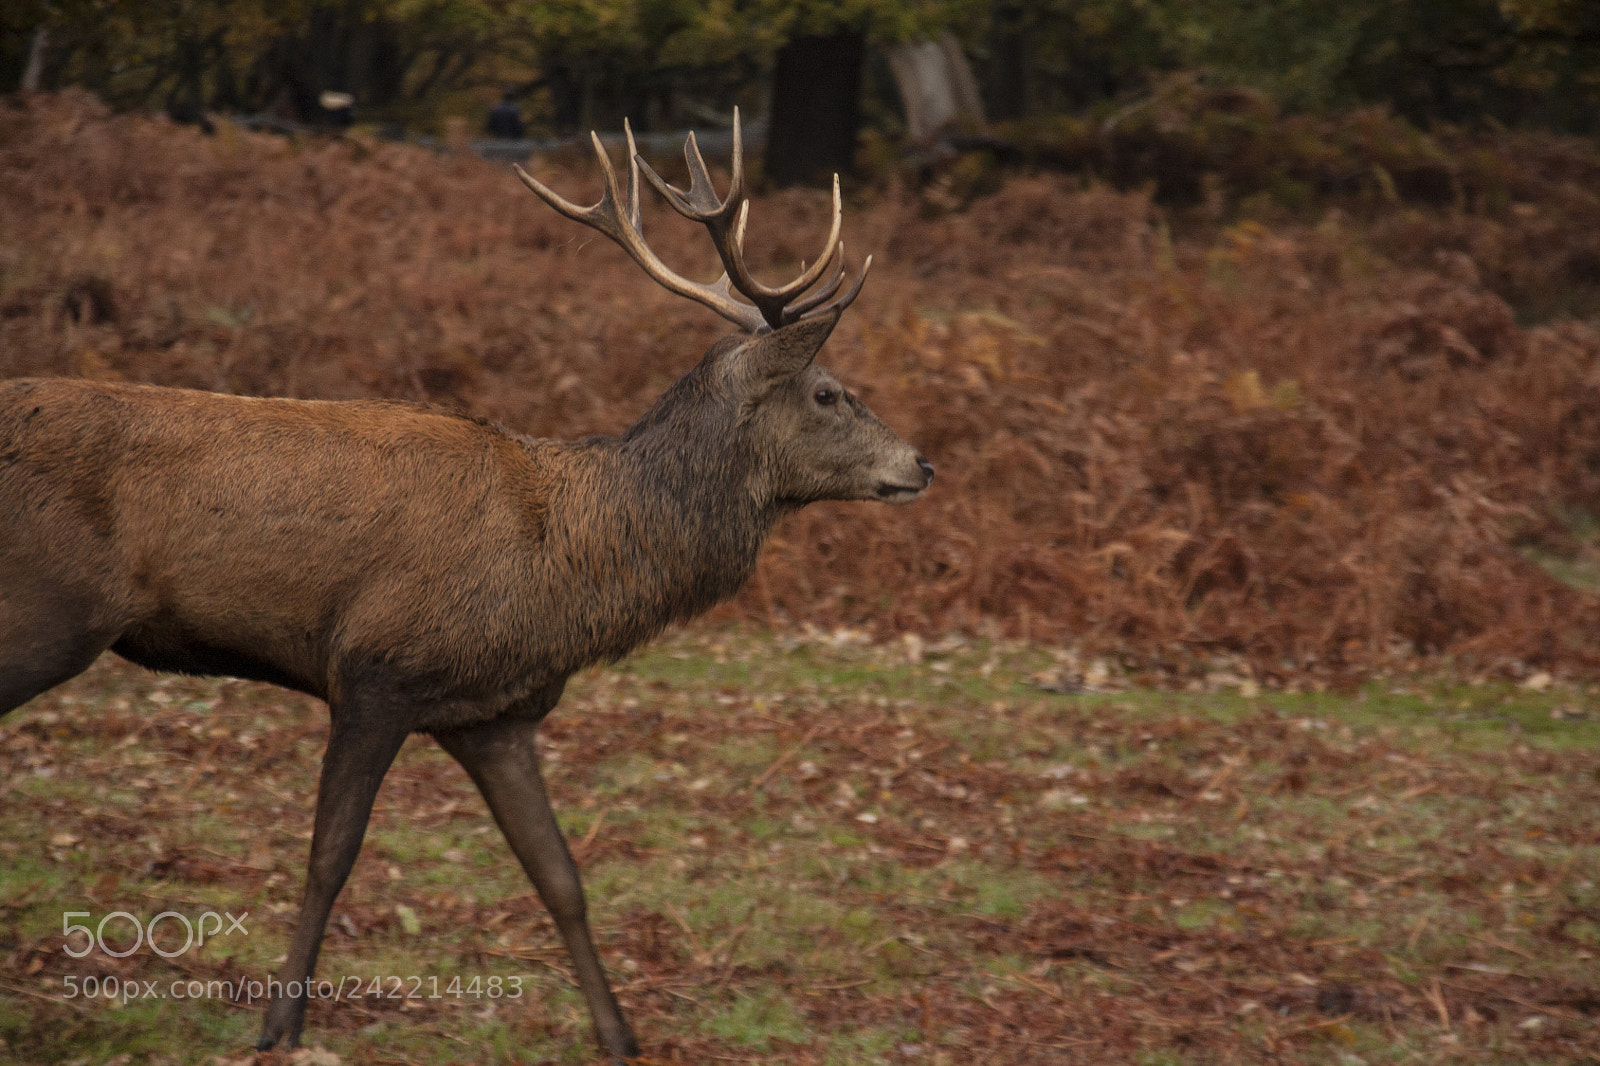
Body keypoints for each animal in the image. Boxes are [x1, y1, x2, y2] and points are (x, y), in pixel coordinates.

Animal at [0, 113, 931, 1062]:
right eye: (828, 393)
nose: (921, 464)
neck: (564, 564)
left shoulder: (494, 715)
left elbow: (560, 876)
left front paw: (619, 1035)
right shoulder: (376, 671)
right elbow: (330, 856)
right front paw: (279, 1024)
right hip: (45, 610)